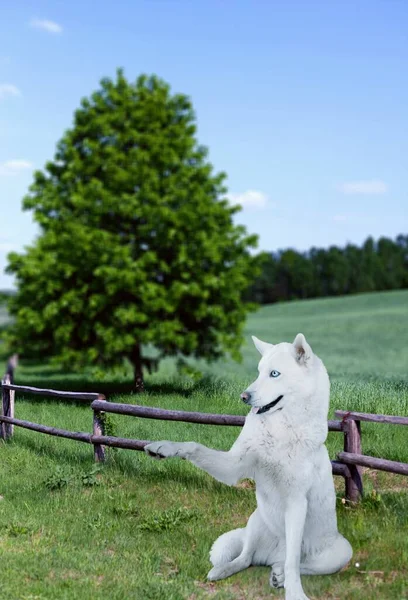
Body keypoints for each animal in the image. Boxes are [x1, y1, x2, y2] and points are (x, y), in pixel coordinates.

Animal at [145, 336, 352, 596]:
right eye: (259, 372)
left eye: (274, 373)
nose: (243, 397)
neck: (279, 429)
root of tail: (272, 555)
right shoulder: (233, 466)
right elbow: (193, 446)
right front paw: (164, 448)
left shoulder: (296, 503)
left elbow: (293, 562)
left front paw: (295, 594)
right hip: (255, 521)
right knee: (246, 558)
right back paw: (224, 571)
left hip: (340, 552)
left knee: (294, 563)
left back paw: (279, 576)